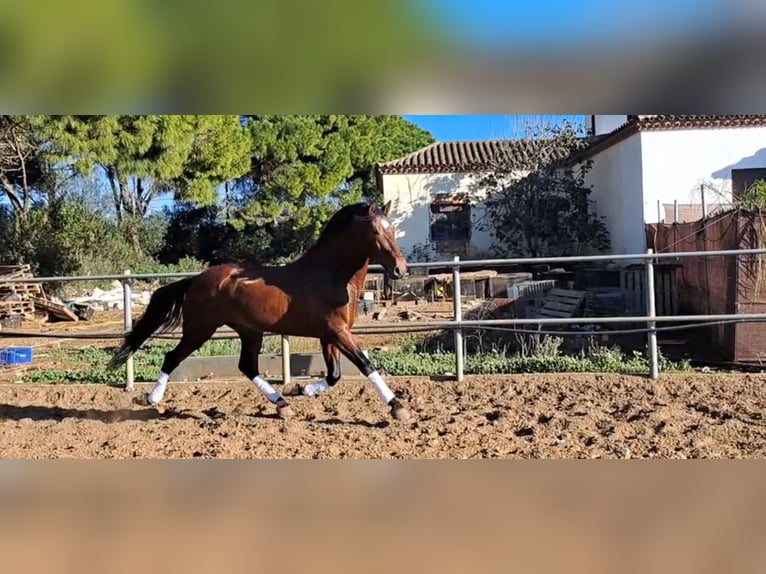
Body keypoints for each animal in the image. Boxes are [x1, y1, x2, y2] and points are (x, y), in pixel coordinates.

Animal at [108, 202, 414, 424]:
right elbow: (364, 364)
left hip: (249, 331)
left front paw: (298, 389)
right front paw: (398, 407)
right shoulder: (336, 332)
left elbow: (334, 375)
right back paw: (151, 399)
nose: (401, 269)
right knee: (172, 357)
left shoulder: (330, 335)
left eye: (393, 230)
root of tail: (196, 279)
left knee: (247, 366)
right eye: (376, 232)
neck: (332, 275)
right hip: (200, 329)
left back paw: (282, 403)